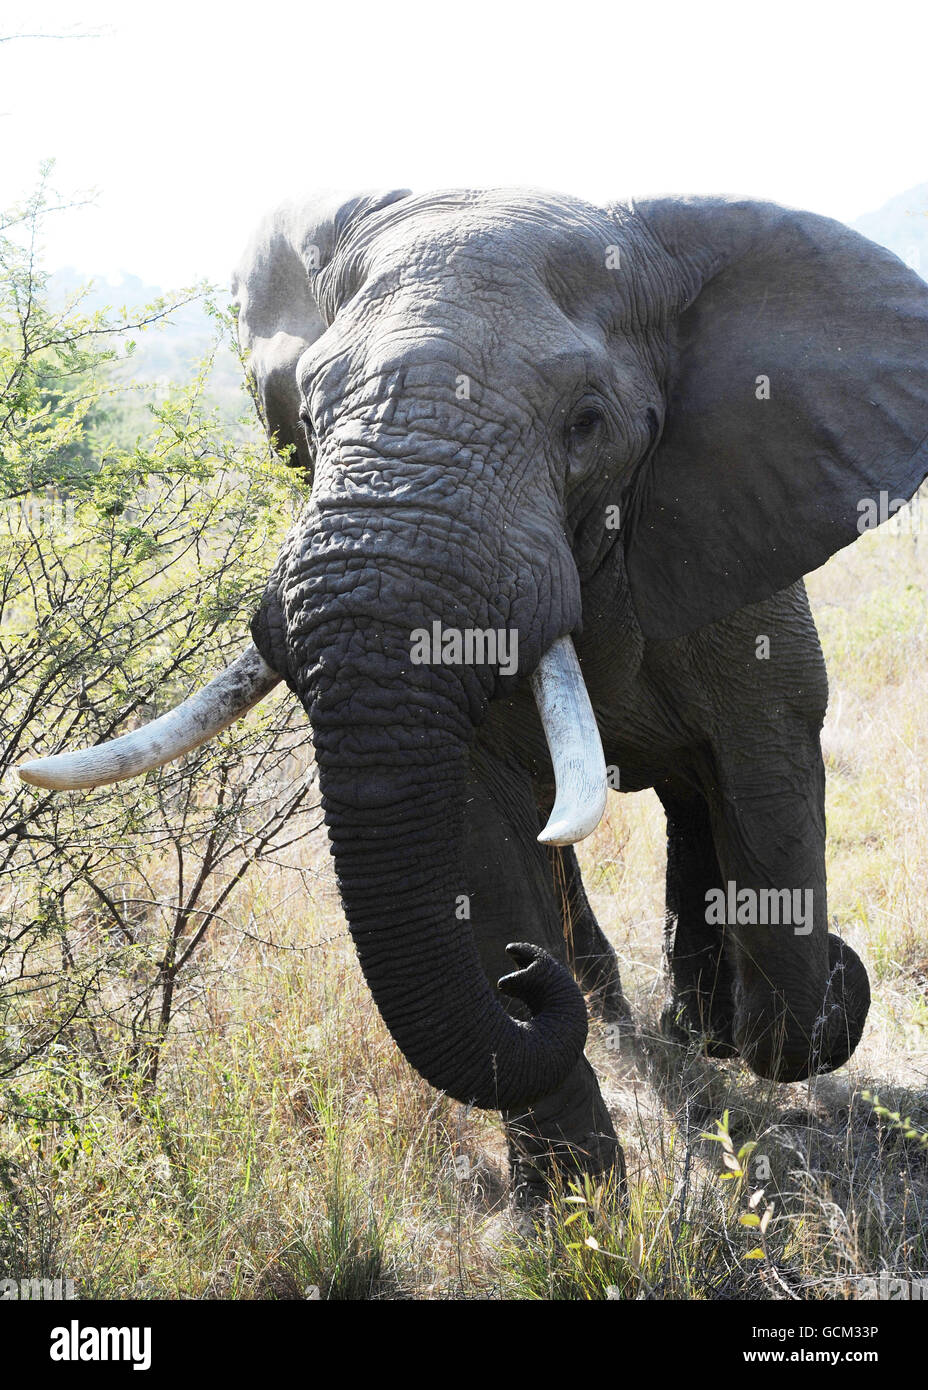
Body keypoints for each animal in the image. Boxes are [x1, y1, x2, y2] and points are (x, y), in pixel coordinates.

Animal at [18, 184, 928, 1206]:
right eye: (311, 417)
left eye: (586, 421)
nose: (525, 983)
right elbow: (480, 833)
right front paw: (574, 1209)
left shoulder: (746, 547)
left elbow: (767, 789)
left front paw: (832, 985)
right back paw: (628, 1010)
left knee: (703, 799)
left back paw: (700, 1026)